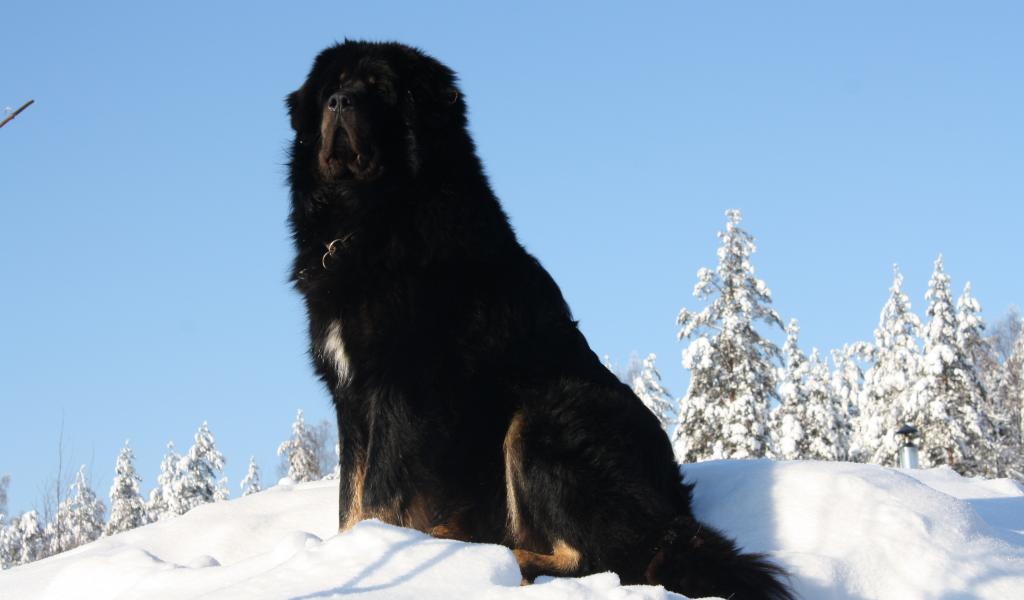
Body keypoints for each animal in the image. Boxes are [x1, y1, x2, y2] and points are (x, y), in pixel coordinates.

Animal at [286, 40, 792, 599]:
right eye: (332, 88)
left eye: (379, 89)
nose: (340, 103)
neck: (371, 218)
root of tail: (675, 513)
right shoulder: (351, 395)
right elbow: (349, 496)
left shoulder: (403, 391)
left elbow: (377, 493)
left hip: (543, 417)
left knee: (610, 557)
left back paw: (486, 554)